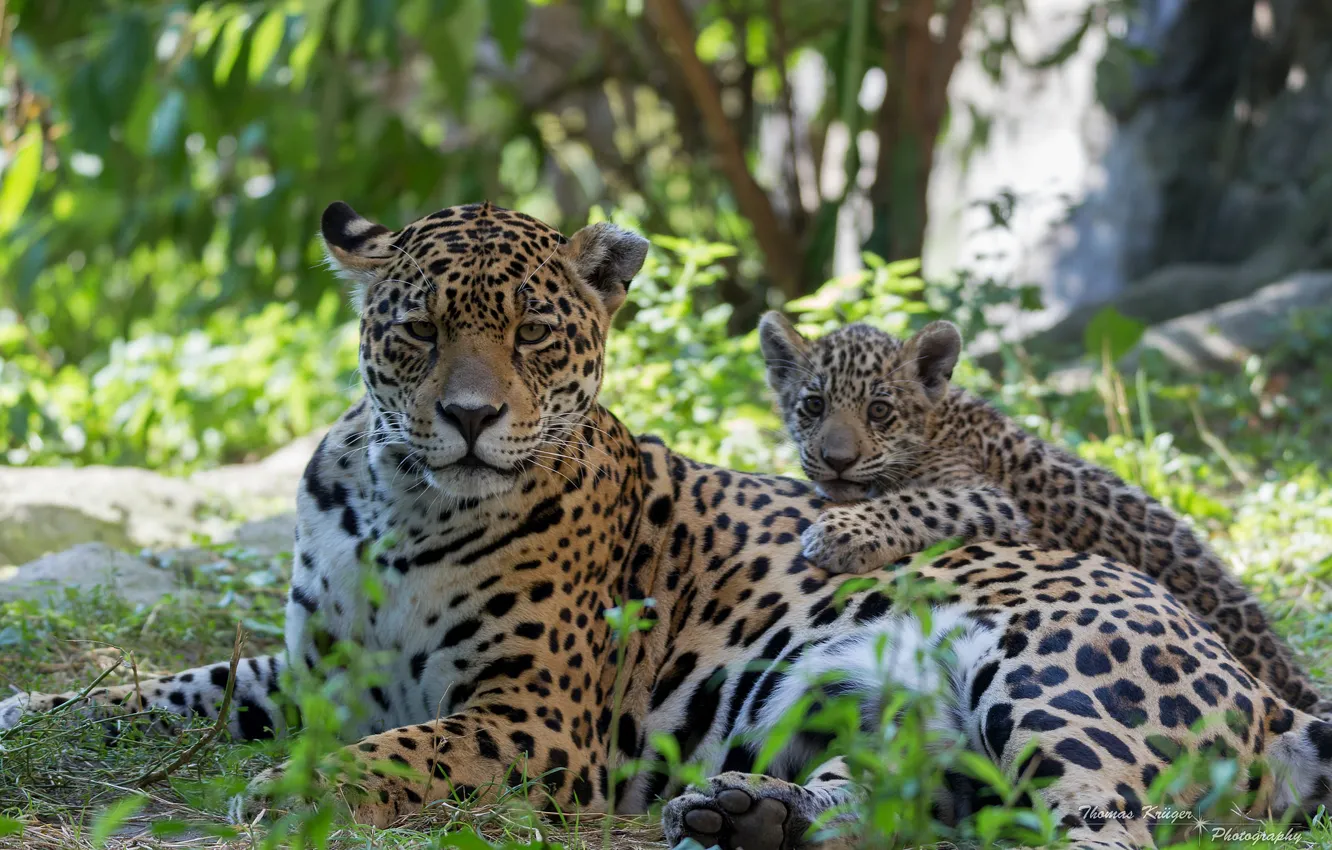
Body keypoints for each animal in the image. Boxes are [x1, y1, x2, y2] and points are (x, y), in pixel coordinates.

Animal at [757, 312, 1332, 721]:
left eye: (879, 410)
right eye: (813, 405)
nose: (836, 459)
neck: (935, 422)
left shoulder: (986, 498)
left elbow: (914, 502)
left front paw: (838, 534)